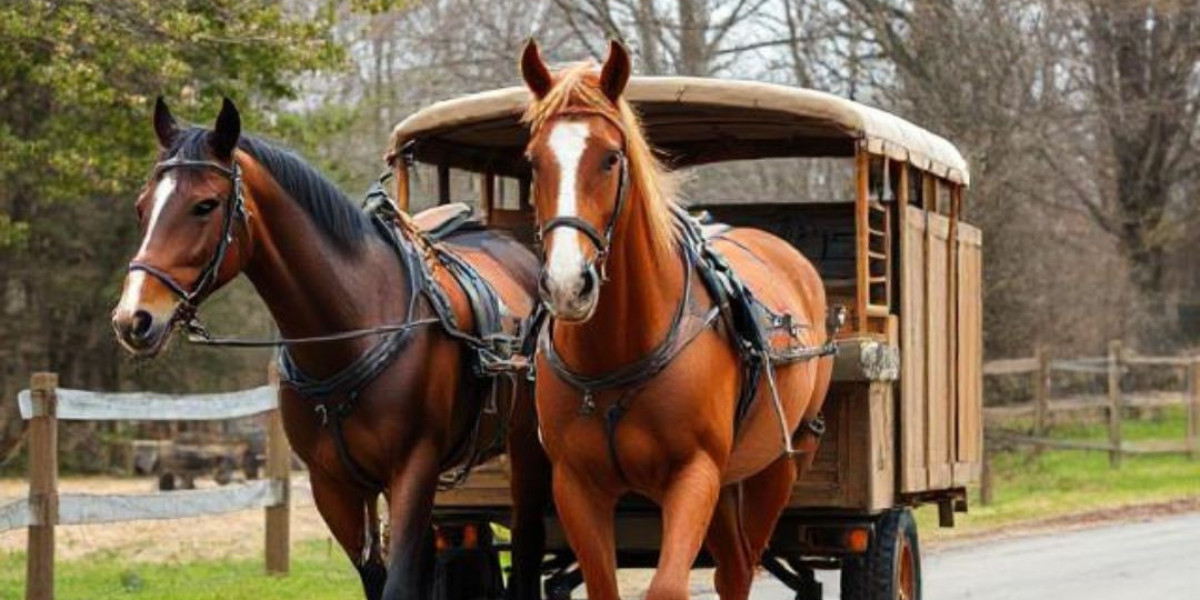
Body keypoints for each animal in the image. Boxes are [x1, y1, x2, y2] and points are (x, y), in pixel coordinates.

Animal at [111, 97, 550, 600]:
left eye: (205, 205)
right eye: (142, 208)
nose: (133, 318)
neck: (352, 330)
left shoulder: (413, 469)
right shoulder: (333, 486)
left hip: (526, 453)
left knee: (528, 548)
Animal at [519, 40, 836, 600]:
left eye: (610, 157)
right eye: (534, 161)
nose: (567, 283)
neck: (619, 351)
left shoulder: (694, 473)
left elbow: (667, 586)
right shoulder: (577, 486)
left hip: (780, 461)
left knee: (743, 562)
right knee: (733, 565)